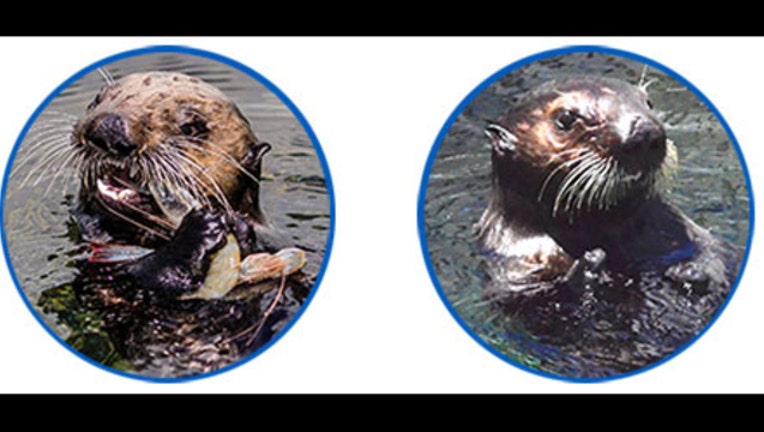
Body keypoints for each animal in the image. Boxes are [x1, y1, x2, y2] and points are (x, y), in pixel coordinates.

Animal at [476, 76, 741, 374]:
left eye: (649, 102)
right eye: (566, 118)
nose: (644, 133)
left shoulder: (678, 230)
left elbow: (717, 252)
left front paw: (692, 270)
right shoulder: (514, 271)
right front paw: (589, 266)